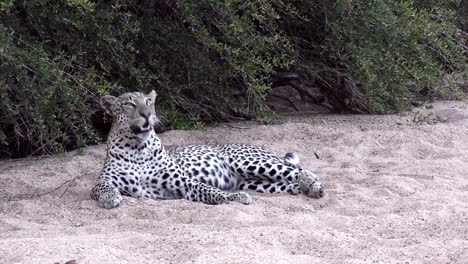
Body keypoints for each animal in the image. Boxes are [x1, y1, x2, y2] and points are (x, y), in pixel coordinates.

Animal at [91, 91, 326, 208]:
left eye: (148, 101)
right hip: (255, 182)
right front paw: (110, 198)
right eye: (129, 104)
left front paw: (235, 198)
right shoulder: (104, 181)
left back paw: (311, 182)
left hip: (250, 162)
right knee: (285, 182)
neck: (137, 147)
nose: (147, 114)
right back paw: (306, 189)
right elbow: (101, 188)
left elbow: (211, 190)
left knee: (296, 170)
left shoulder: (185, 183)